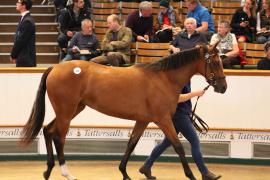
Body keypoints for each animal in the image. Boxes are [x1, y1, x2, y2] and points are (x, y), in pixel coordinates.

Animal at [21, 43, 227, 179]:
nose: (223, 87)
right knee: (58, 137)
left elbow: (131, 144)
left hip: (73, 109)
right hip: (66, 111)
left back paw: (48, 170)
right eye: (215, 62)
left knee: (48, 130)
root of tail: (55, 67)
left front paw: (125, 173)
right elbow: (178, 147)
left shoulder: (143, 120)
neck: (163, 78)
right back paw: (66, 173)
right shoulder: (163, 120)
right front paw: (191, 175)